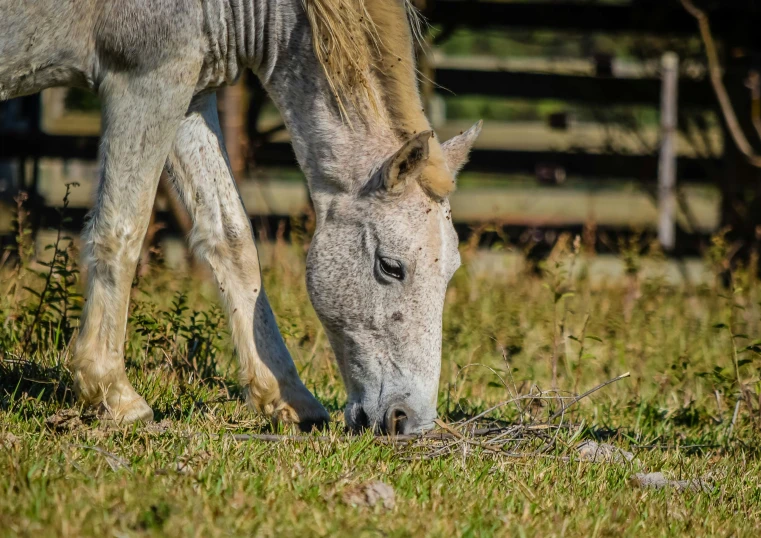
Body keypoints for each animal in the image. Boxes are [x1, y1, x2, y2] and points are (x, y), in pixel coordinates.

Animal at [1, 0, 480, 434]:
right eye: (391, 267)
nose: (411, 421)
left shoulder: (189, 93)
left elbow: (232, 238)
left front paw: (288, 397)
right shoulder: (145, 80)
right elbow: (122, 229)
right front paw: (113, 393)